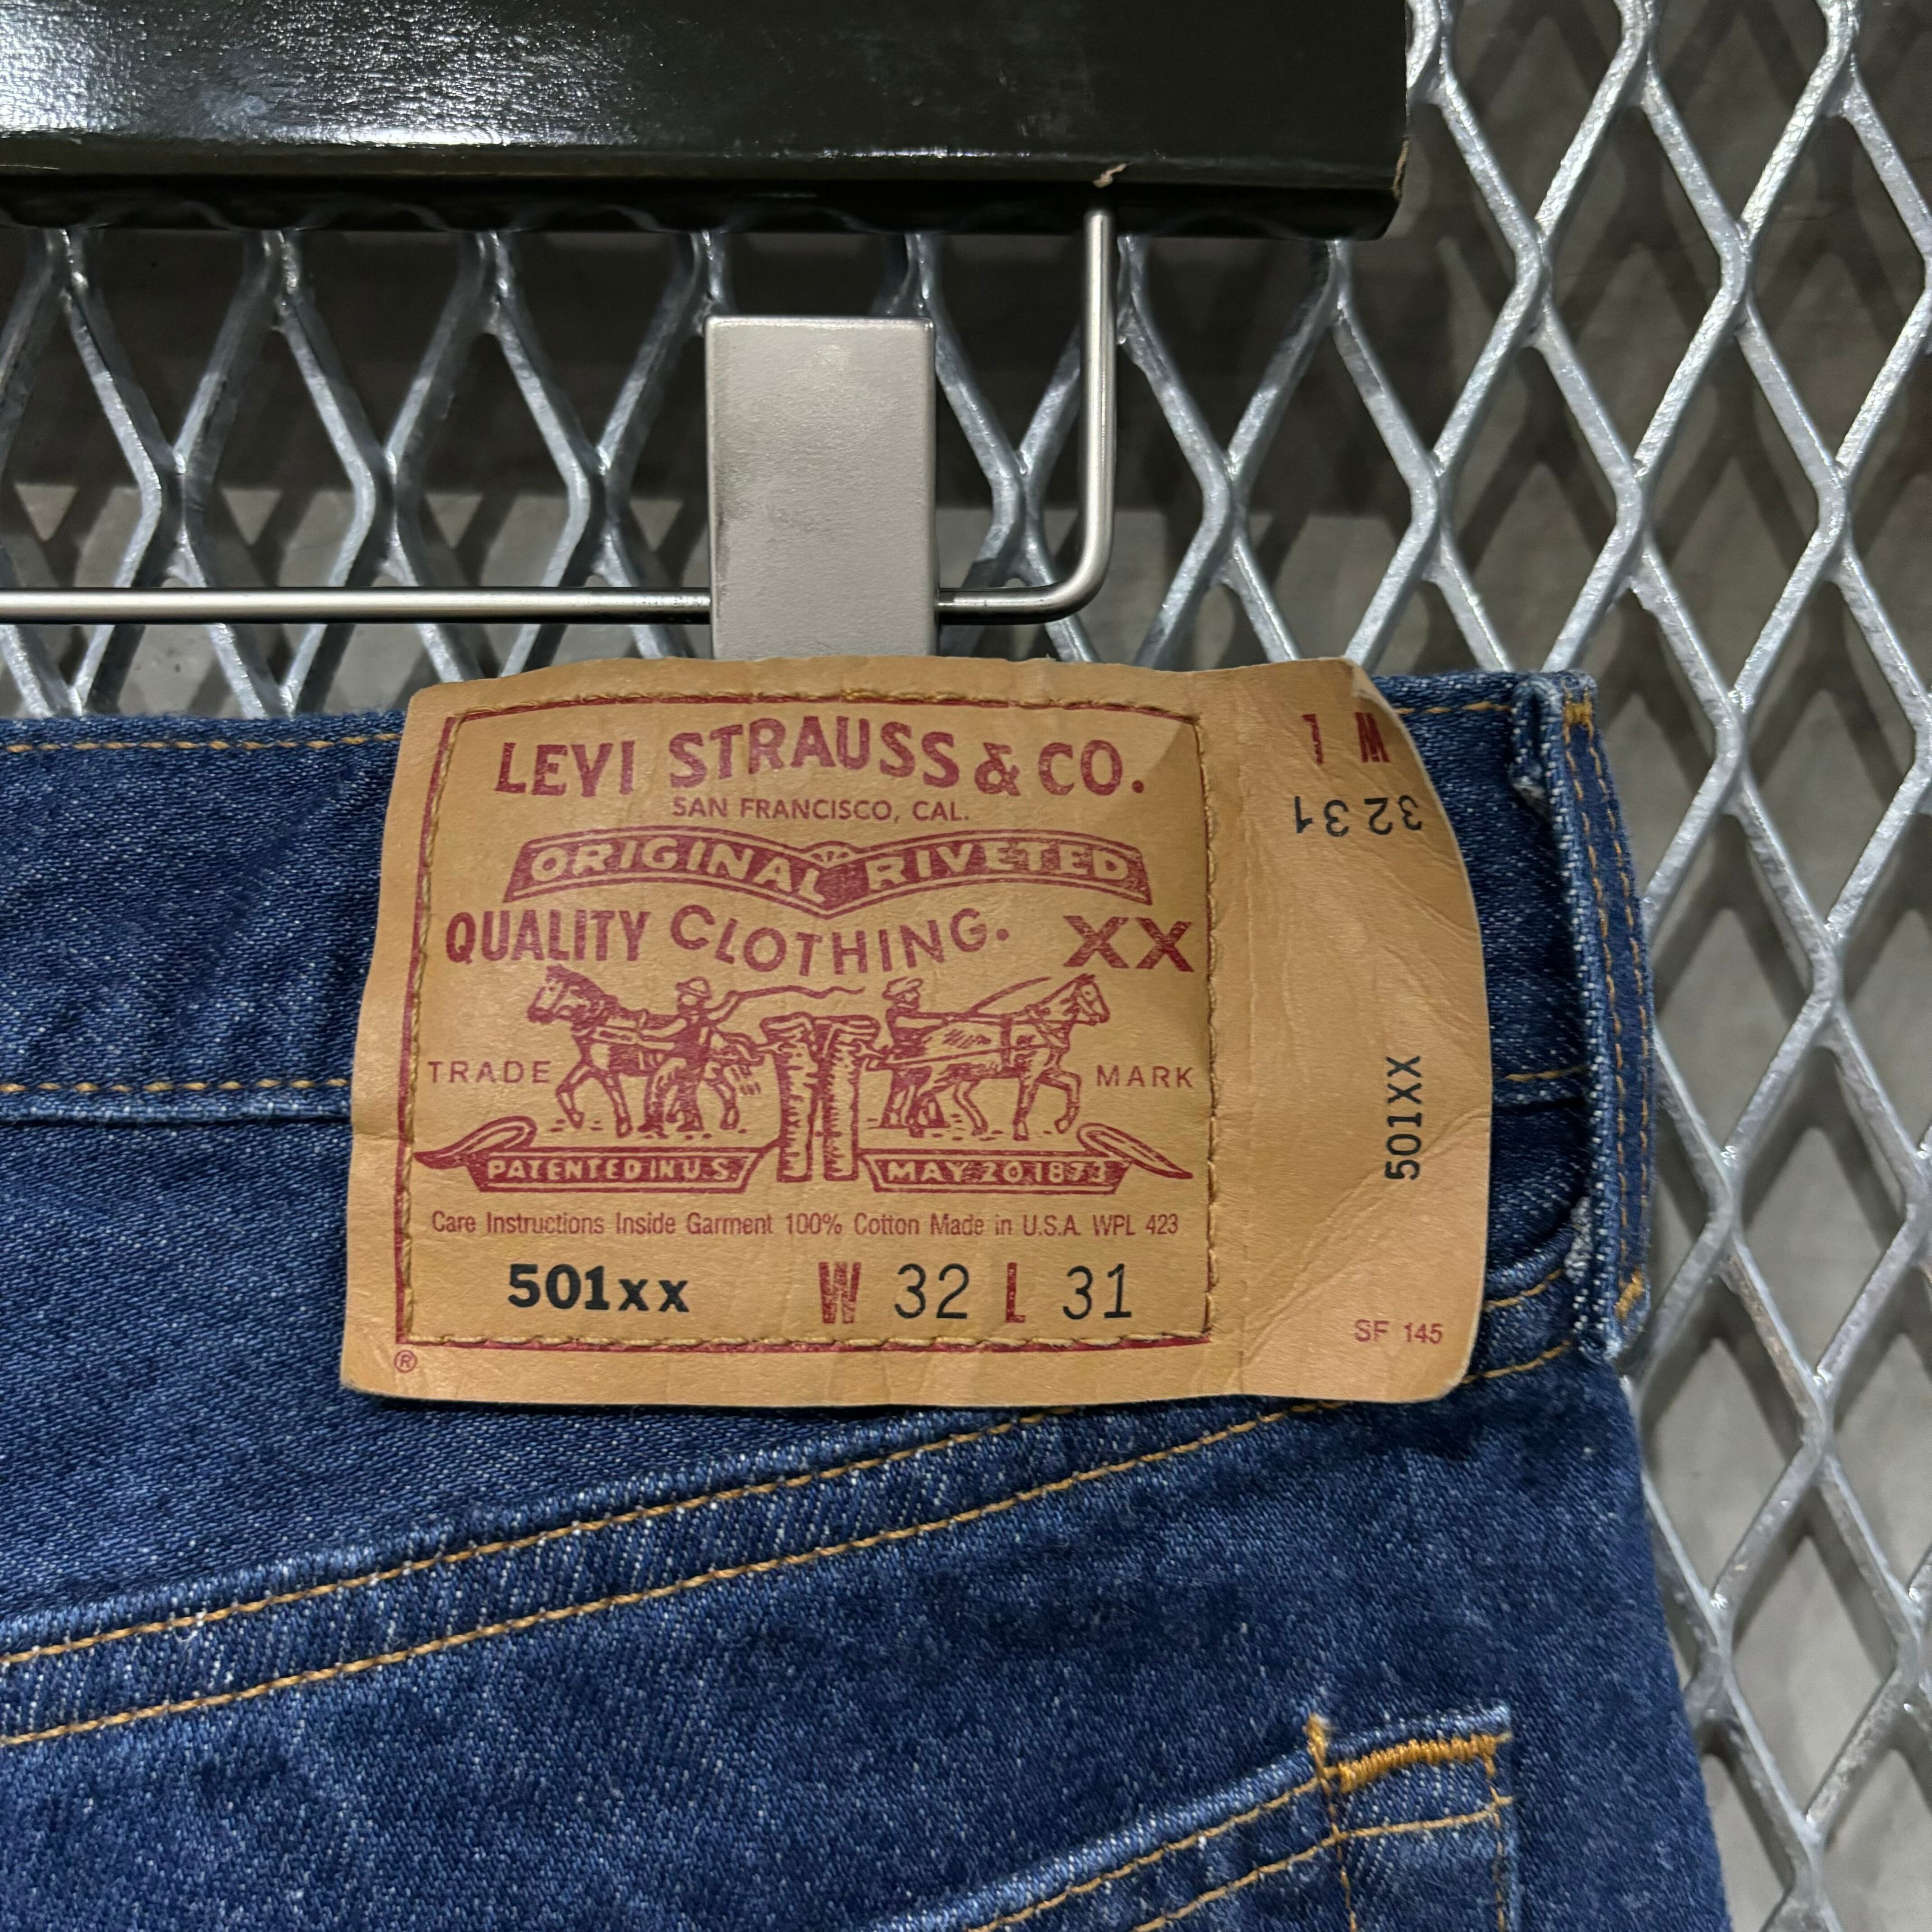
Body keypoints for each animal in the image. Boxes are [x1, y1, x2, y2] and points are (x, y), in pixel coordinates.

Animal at [877, 974, 1110, 1141]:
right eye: (1088, 993)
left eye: (1097, 992)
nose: (1105, 1016)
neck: (1043, 1026)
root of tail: (929, 1037)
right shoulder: (1030, 1074)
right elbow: (1025, 1104)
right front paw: (1021, 1133)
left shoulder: (1047, 1071)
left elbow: (1074, 1082)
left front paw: (1063, 1123)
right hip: (943, 1076)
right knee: (921, 1095)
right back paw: (914, 1127)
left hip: (969, 1075)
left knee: (957, 1096)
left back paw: (978, 1127)